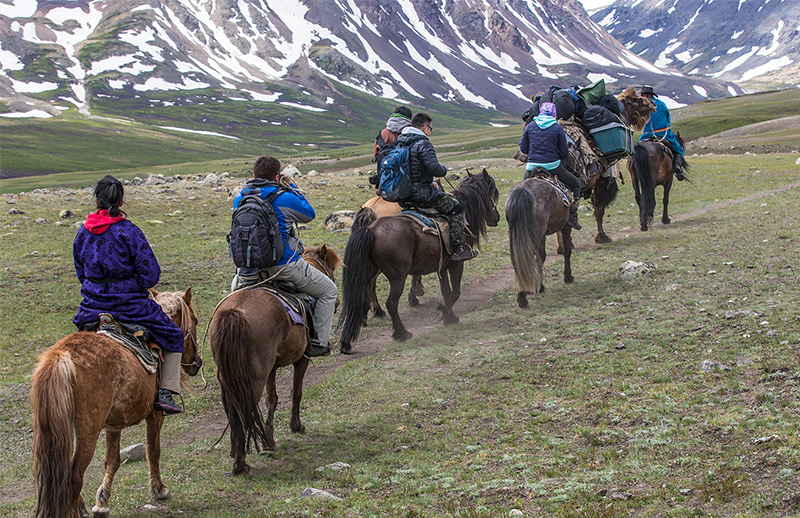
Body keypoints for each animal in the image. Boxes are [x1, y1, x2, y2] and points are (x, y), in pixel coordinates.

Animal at [32, 290, 203, 518]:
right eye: (195, 320)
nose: (196, 363)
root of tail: (61, 357)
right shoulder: (155, 415)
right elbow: (153, 451)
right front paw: (159, 490)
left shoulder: (114, 424)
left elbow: (112, 460)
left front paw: (102, 502)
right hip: (88, 430)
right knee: (74, 475)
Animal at [208, 246, 342, 478]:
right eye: (331, 271)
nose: (337, 303)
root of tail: (235, 312)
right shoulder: (302, 359)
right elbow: (296, 392)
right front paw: (296, 426)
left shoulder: (270, 368)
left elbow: (272, 399)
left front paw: (269, 439)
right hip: (253, 377)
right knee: (244, 409)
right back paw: (241, 464)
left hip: (230, 375)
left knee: (234, 409)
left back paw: (238, 451)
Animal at [334, 171, 496, 354]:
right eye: (494, 193)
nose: (496, 218)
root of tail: (371, 230)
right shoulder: (456, 264)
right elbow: (455, 292)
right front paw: (441, 312)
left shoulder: (442, 266)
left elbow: (447, 292)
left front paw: (449, 316)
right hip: (397, 277)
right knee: (391, 303)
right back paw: (402, 333)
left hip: (365, 272)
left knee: (358, 298)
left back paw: (348, 339)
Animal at [506, 179, 576, 308]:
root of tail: (522, 191)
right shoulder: (566, 226)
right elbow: (567, 251)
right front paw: (568, 277)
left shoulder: (542, 236)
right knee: (531, 258)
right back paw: (524, 297)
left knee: (519, 260)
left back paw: (522, 293)